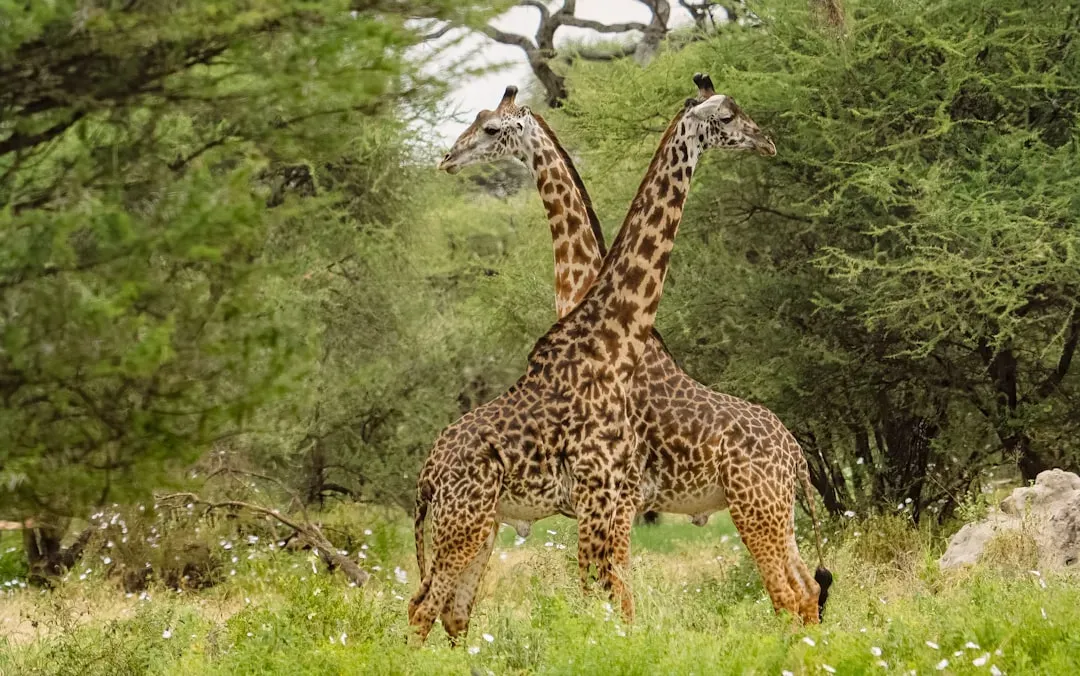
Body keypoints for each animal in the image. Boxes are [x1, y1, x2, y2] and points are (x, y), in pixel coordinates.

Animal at [439, 84, 833, 626]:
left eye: (491, 129)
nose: (448, 158)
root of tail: (796, 455)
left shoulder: (617, 496)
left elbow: (611, 595)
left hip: (756, 508)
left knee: (791, 595)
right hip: (775, 513)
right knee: (807, 591)